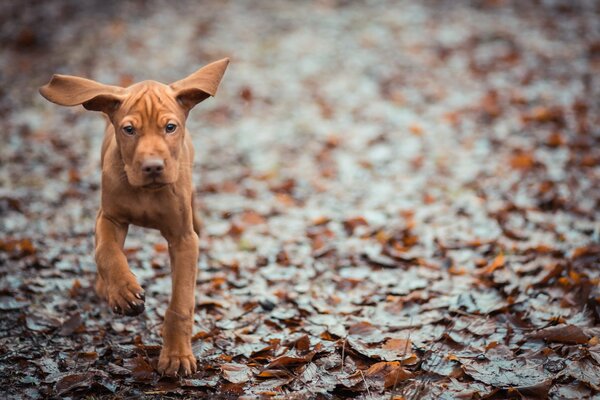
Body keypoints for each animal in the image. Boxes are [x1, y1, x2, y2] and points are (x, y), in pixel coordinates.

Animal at [38, 57, 230, 376]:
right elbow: (106, 252)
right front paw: (123, 291)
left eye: (170, 127)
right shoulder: (109, 218)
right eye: (129, 130)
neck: (146, 193)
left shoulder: (183, 239)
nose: (152, 167)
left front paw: (177, 356)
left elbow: (181, 302)